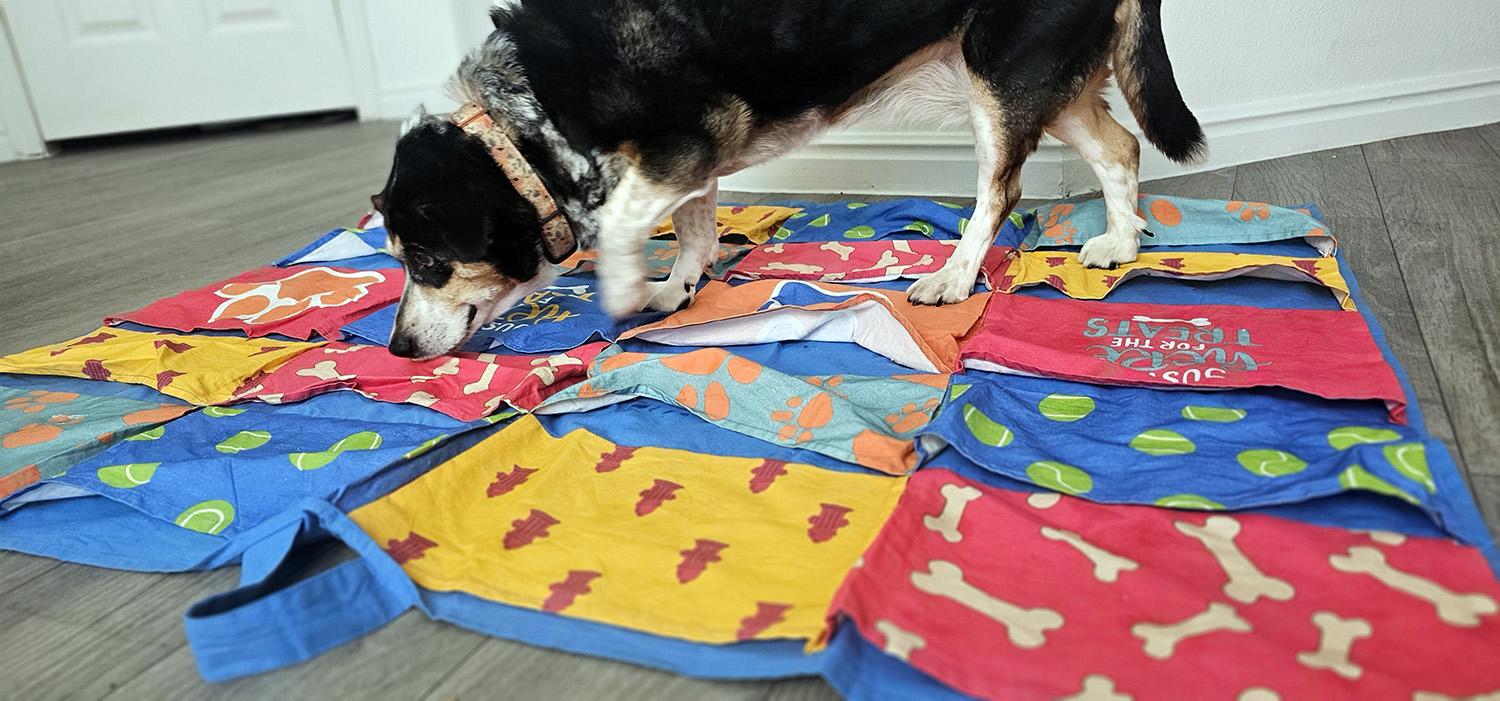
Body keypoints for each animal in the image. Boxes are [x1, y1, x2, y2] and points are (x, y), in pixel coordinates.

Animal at [375, 0, 1206, 358]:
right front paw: (675, 289)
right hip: (1039, 83)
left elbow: (630, 222)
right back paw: (1120, 242)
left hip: (999, 80)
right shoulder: (688, 160)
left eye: (430, 262)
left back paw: (953, 276)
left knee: (999, 192)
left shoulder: (682, 144)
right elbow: (694, 226)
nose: (399, 350)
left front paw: (629, 289)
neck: (527, 118)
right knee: (1119, 148)